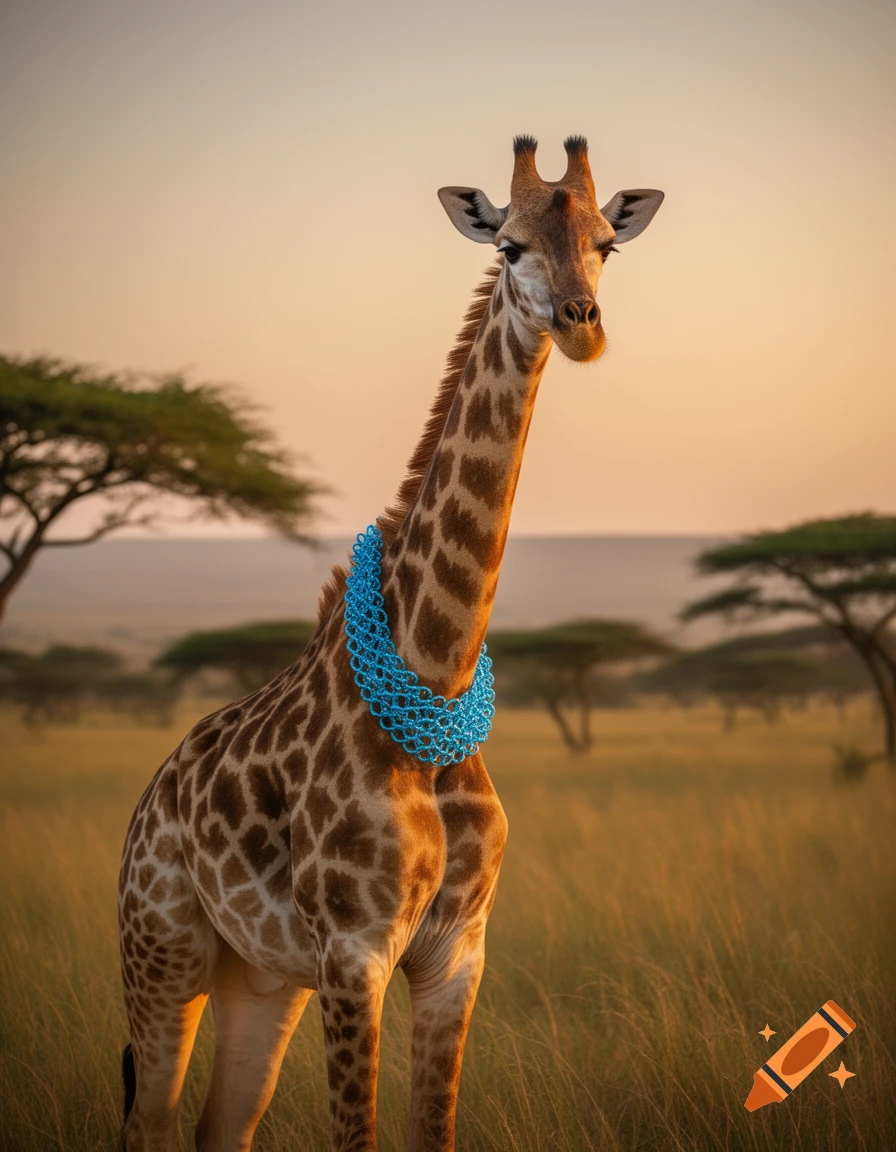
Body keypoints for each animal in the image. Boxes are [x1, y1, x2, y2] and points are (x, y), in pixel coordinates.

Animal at [118, 135, 663, 1152]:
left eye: (607, 244)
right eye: (509, 247)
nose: (581, 324)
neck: (436, 671)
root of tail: (147, 801)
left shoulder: (456, 956)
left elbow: (432, 1130)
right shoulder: (355, 954)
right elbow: (359, 1134)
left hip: (258, 979)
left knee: (220, 1128)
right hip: (160, 954)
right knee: (148, 1120)